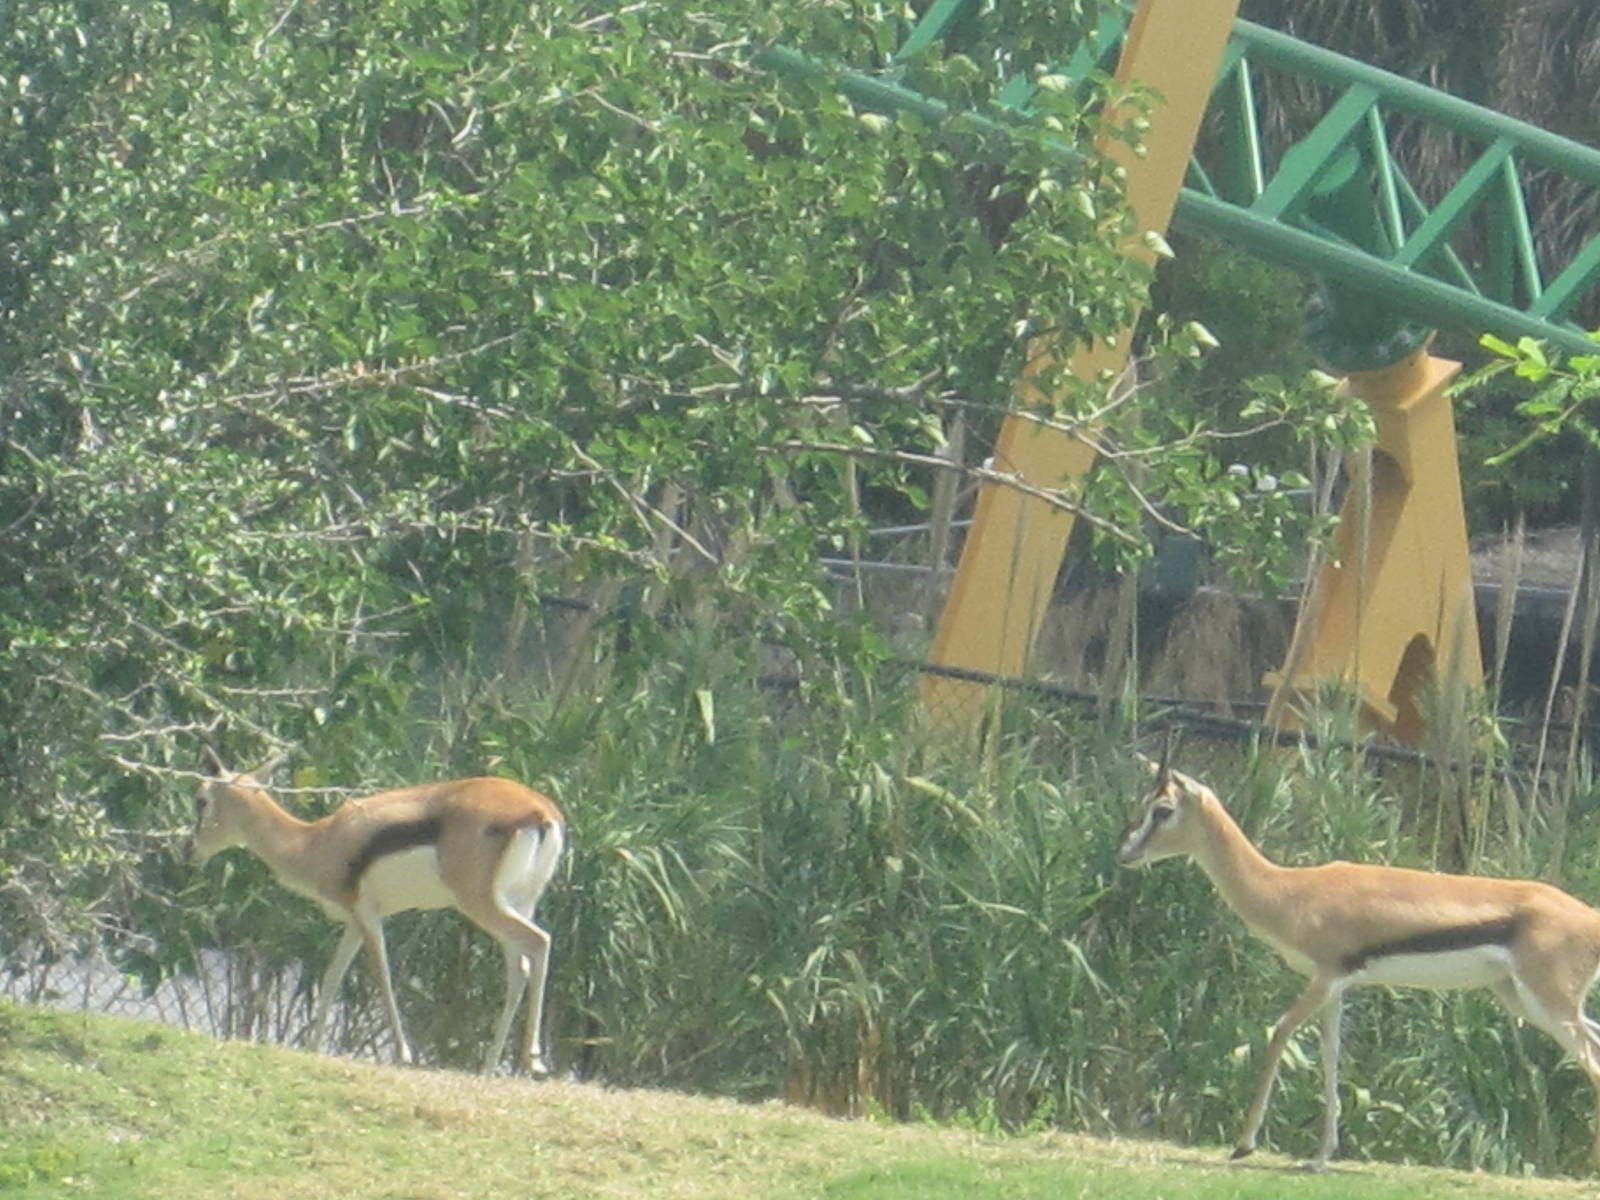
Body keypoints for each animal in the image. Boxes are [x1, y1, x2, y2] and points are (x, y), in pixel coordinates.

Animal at [188, 754, 565, 1075]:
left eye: (201, 800)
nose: (186, 849)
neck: (318, 842)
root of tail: (538, 811)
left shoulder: (367, 913)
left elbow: (381, 974)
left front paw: (403, 1054)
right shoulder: (354, 922)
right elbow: (332, 977)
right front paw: (312, 1048)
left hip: (481, 904)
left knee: (539, 942)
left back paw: (533, 1060)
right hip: (518, 902)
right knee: (520, 968)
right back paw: (490, 1070)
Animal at [1118, 753, 1600, 1171]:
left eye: (1162, 810)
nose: (1125, 852)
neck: (1290, 891)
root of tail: (1589, 917)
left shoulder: (1326, 976)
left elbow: (1280, 1033)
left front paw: (1244, 1145)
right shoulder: (1337, 986)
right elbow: (1330, 1054)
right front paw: (1319, 1158)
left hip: (1550, 1005)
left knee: (1589, 1058)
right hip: (1523, 999)